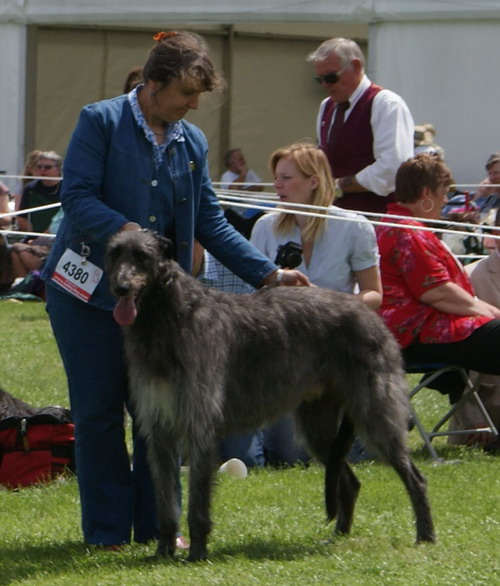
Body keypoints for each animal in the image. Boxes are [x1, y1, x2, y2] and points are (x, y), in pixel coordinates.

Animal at [104, 227, 434, 556]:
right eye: (113, 253)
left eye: (142, 256)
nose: (120, 288)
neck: (169, 315)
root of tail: (369, 312)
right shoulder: (161, 428)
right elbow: (165, 500)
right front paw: (163, 551)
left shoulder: (200, 426)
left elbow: (198, 499)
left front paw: (196, 552)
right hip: (318, 426)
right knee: (350, 482)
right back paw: (338, 535)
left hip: (374, 411)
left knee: (415, 477)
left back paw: (426, 536)